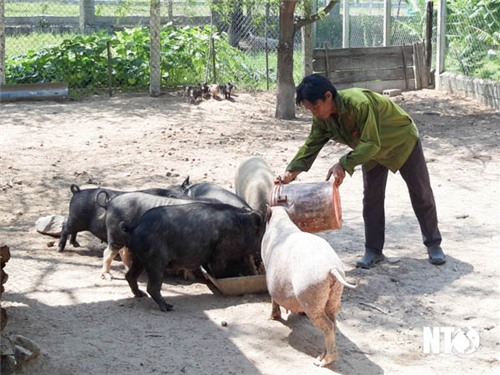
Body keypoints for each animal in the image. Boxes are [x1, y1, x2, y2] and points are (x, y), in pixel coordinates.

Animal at [121, 203, 266, 312]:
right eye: (264, 234)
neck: (243, 227)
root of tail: (135, 226)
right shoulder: (220, 253)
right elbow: (221, 271)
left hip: (139, 258)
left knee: (130, 276)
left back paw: (140, 295)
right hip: (155, 259)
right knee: (152, 286)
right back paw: (168, 307)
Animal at [260, 206, 358, 368]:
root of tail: (332, 269)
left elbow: (273, 298)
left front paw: (272, 318)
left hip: (310, 294)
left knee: (327, 326)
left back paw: (320, 362)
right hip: (334, 295)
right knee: (333, 322)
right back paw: (321, 356)